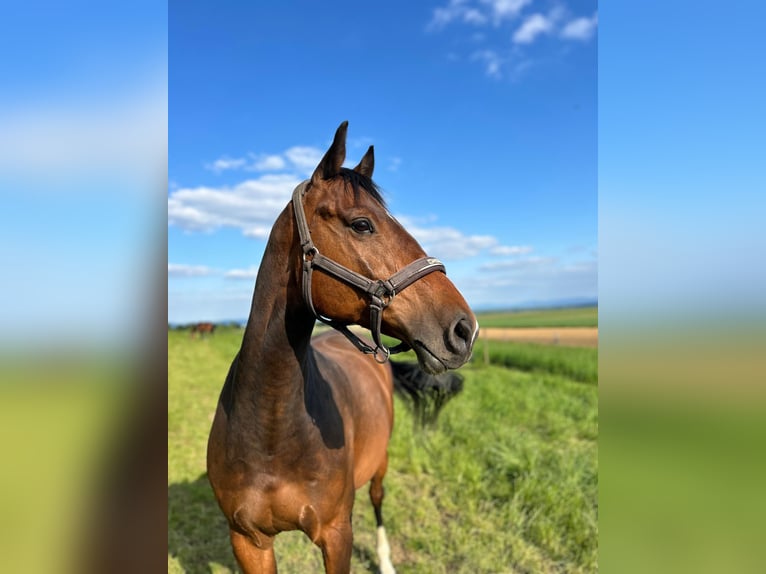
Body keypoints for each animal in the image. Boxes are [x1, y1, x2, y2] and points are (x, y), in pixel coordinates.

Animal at [207, 121, 478, 574]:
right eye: (362, 224)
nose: (464, 329)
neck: (271, 431)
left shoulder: (336, 535)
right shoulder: (247, 541)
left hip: (380, 462)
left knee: (378, 498)